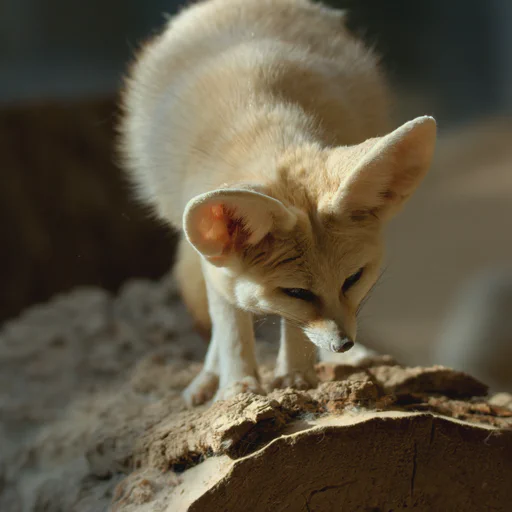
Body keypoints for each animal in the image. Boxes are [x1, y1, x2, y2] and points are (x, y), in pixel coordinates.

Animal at [120, 1, 436, 408]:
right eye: (297, 292)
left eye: (353, 279)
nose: (343, 344)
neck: (264, 113)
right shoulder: (219, 266)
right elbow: (231, 327)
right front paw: (238, 385)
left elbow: (296, 327)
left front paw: (297, 376)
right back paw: (210, 376)